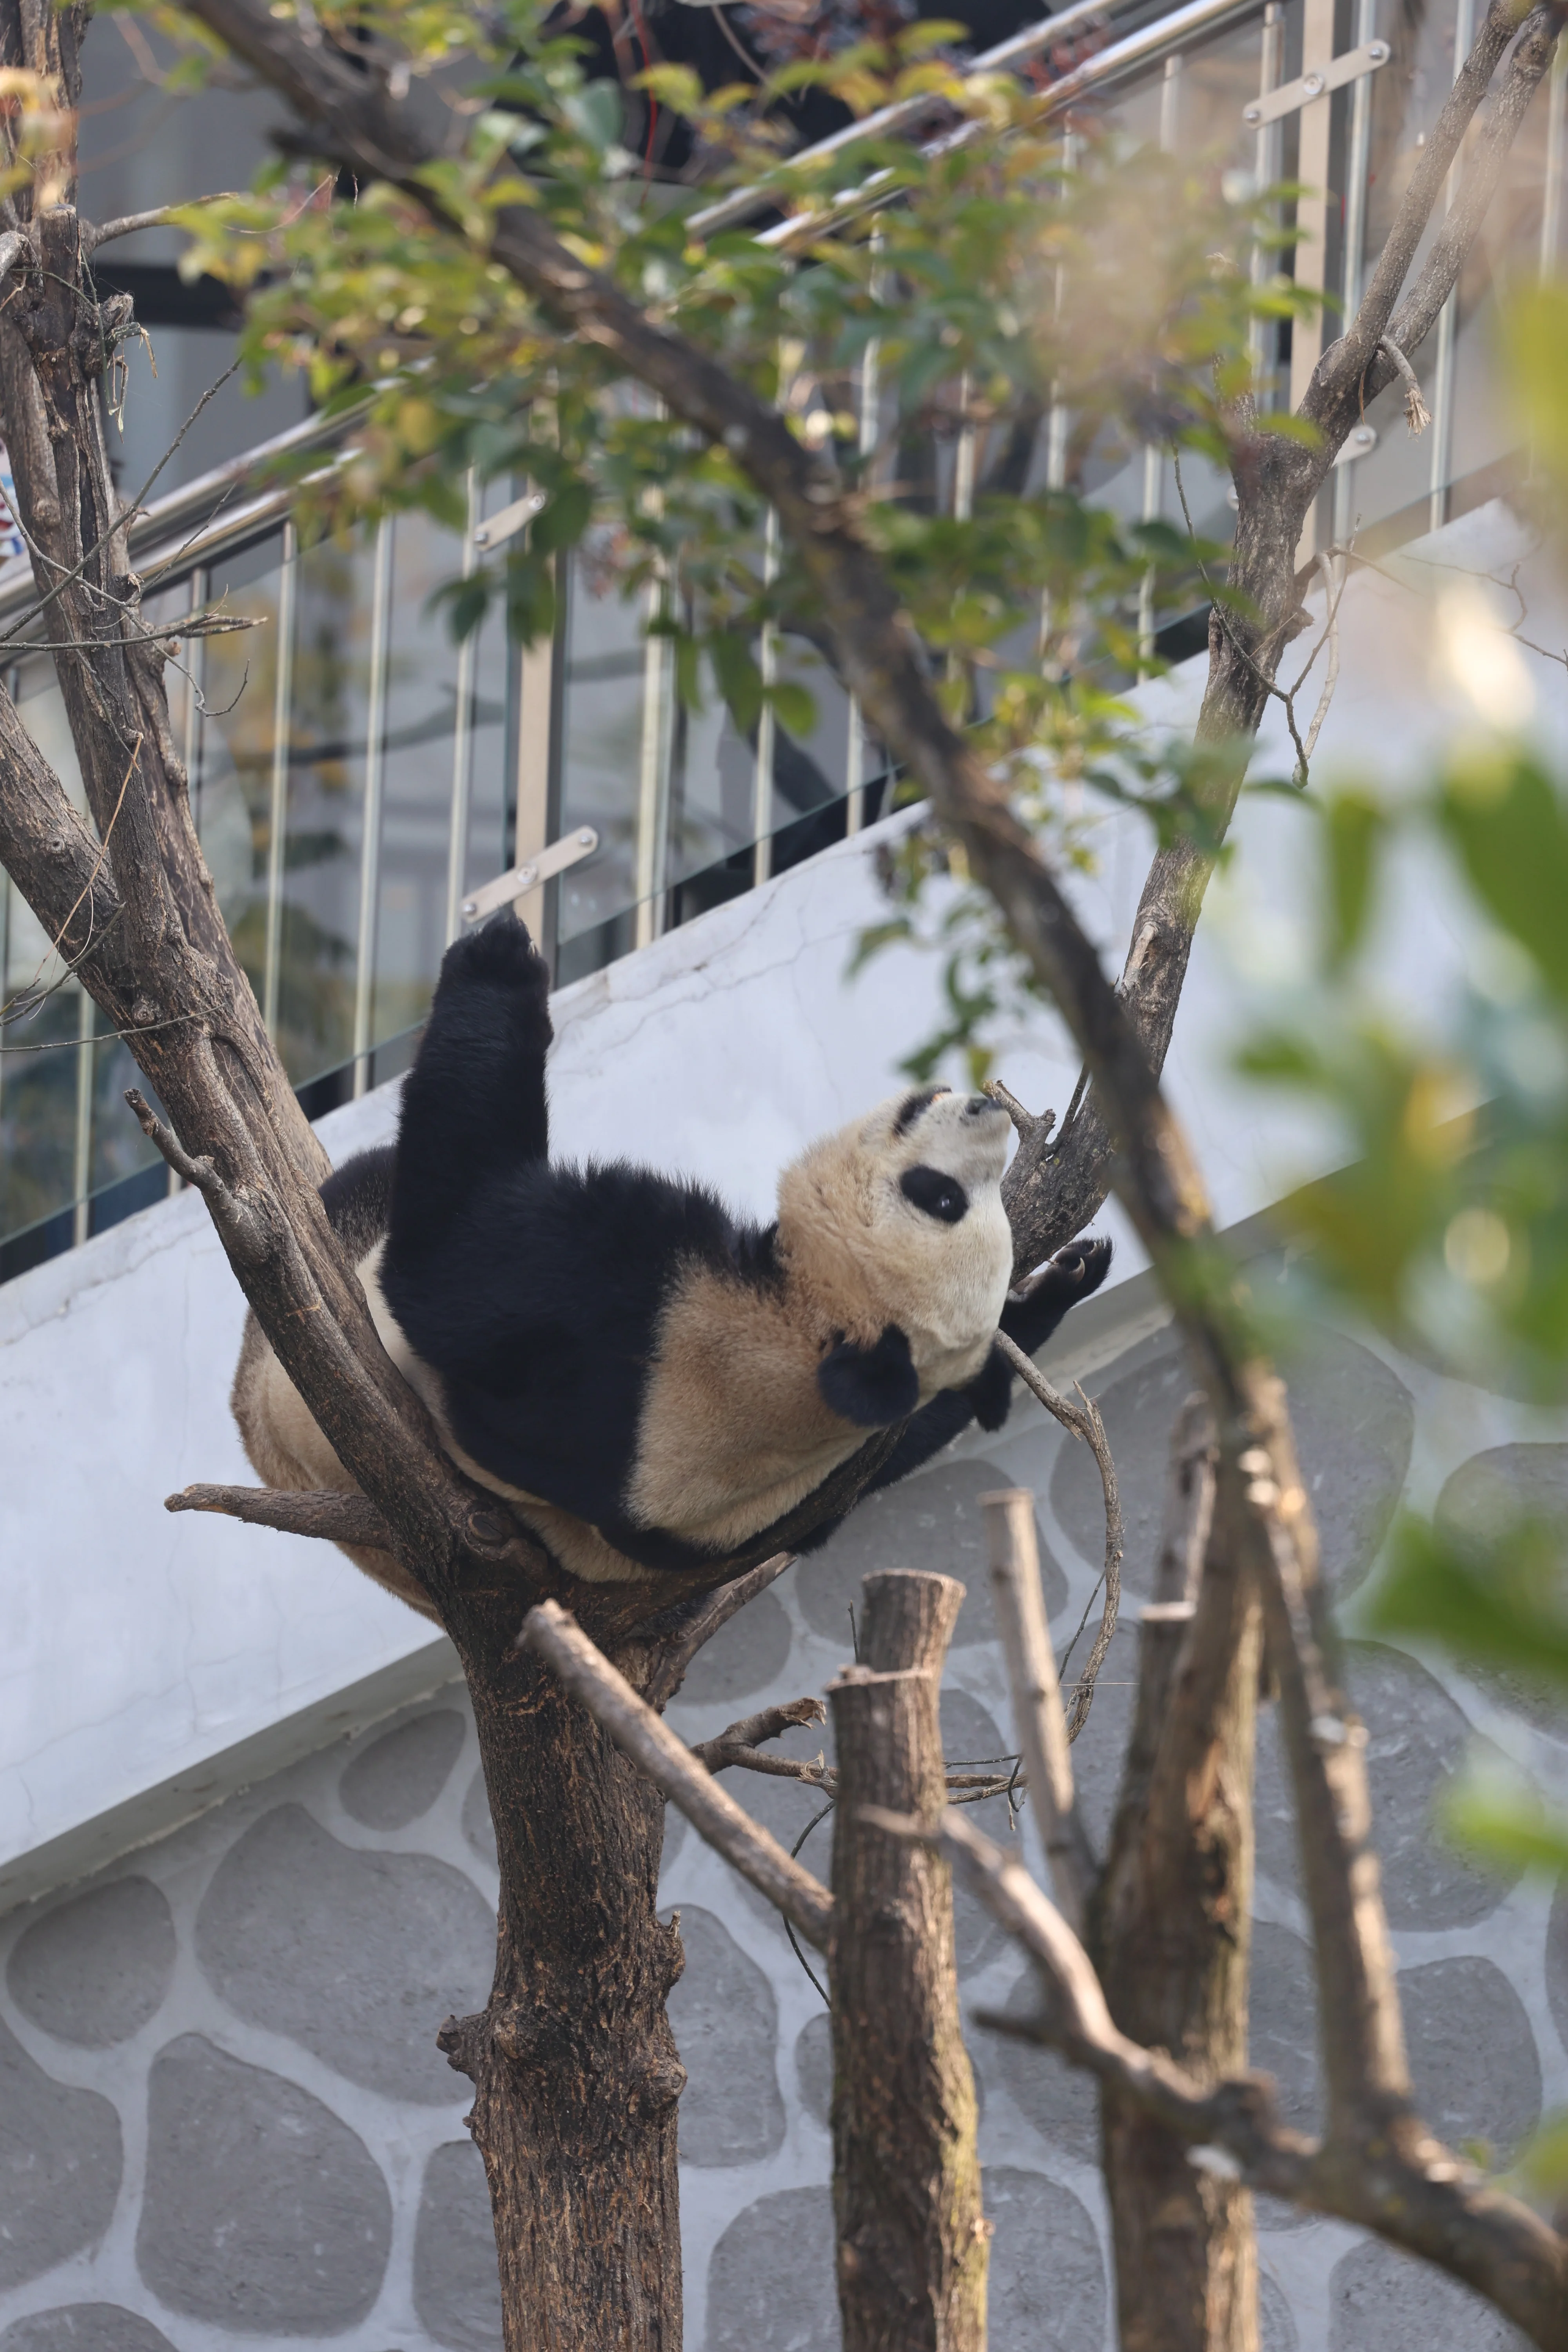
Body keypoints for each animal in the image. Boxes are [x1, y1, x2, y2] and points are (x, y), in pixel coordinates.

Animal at [233, 914, 1111, 1617]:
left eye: (939, 1199)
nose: (985, 1109)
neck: (800, 1341)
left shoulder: (643, 1321)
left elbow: (447, 1265)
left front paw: (500, 954)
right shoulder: (806, 1481)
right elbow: (891, 1454)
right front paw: (1055, 1290)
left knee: (368, 1188)